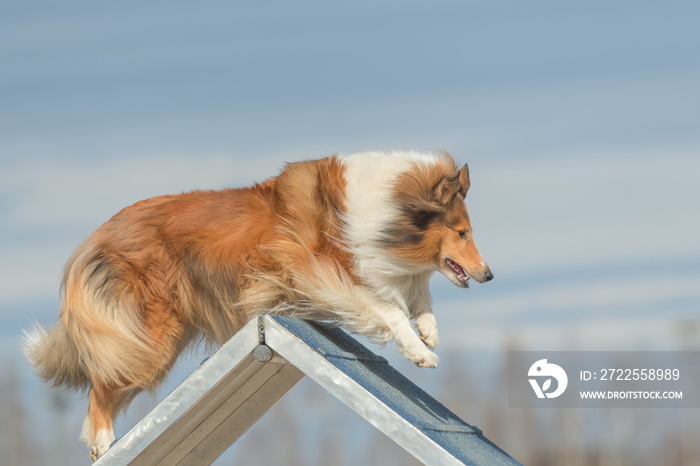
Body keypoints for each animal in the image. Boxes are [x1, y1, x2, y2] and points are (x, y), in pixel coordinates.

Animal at [23, 151, 492, 460]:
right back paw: (103, 444)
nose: (488, 275)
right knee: (99, 387)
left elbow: (417, 297)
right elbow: (391, 309)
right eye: (462, 232)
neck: (390, 209)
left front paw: (427, 330)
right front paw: (420, 352)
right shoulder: (331, 274)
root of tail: (94, 238)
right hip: (149, 337)